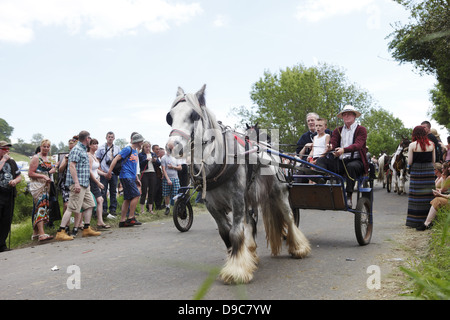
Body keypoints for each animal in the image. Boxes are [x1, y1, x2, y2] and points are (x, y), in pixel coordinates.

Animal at [165, 84, 310, 284]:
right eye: (170, 117)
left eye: (193, 115)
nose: (172, 146)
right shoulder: (212, 204)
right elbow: (226, 232)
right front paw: (238, 259)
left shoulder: (237, 199)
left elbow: (235, 232)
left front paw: (236, 271)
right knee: (251, 223)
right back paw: (251, 252)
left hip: (279, 193)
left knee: (288, 217)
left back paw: (298, 248)